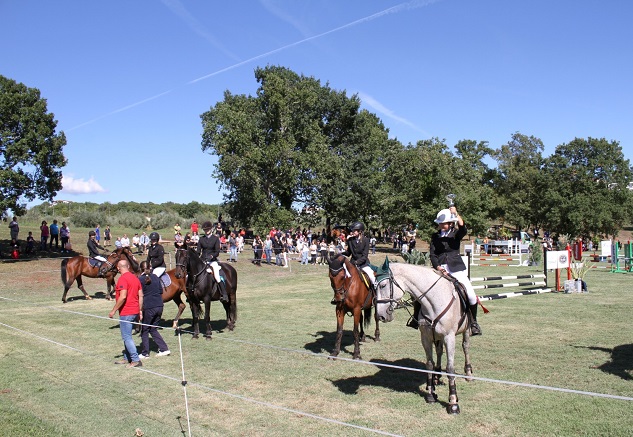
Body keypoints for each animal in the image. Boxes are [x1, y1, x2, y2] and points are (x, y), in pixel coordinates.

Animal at [372, 260, 472, 414]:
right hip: (436, 336)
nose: (380, 316)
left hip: (465, 330)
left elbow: (450, 369)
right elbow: (429, 364)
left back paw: (468, 373)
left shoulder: (449, 337)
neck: (434, 300)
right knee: (439, 351)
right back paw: (437, 376)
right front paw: (431, 394)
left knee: (465, 347)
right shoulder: (425, 336)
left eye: (383, 285)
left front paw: (453, 402)